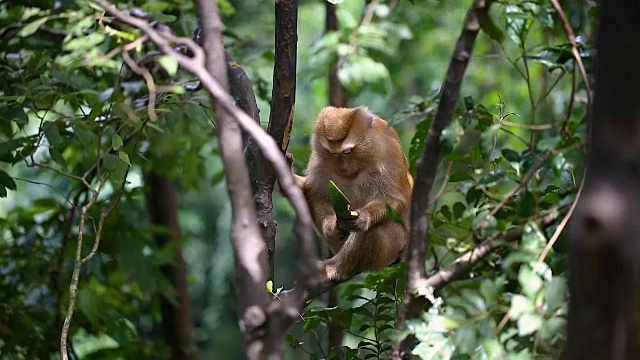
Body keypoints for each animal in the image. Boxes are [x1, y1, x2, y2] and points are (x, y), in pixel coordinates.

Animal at [292, 105, 412, 296]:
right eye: (332, 153)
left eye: (348, 151)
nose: (343, 167)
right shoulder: (319, 158)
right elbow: (316, 193)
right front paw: (330, 226)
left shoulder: (389, 149)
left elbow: (395, 198)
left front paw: (363, 218)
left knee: (377, 231)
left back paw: (336, 269)